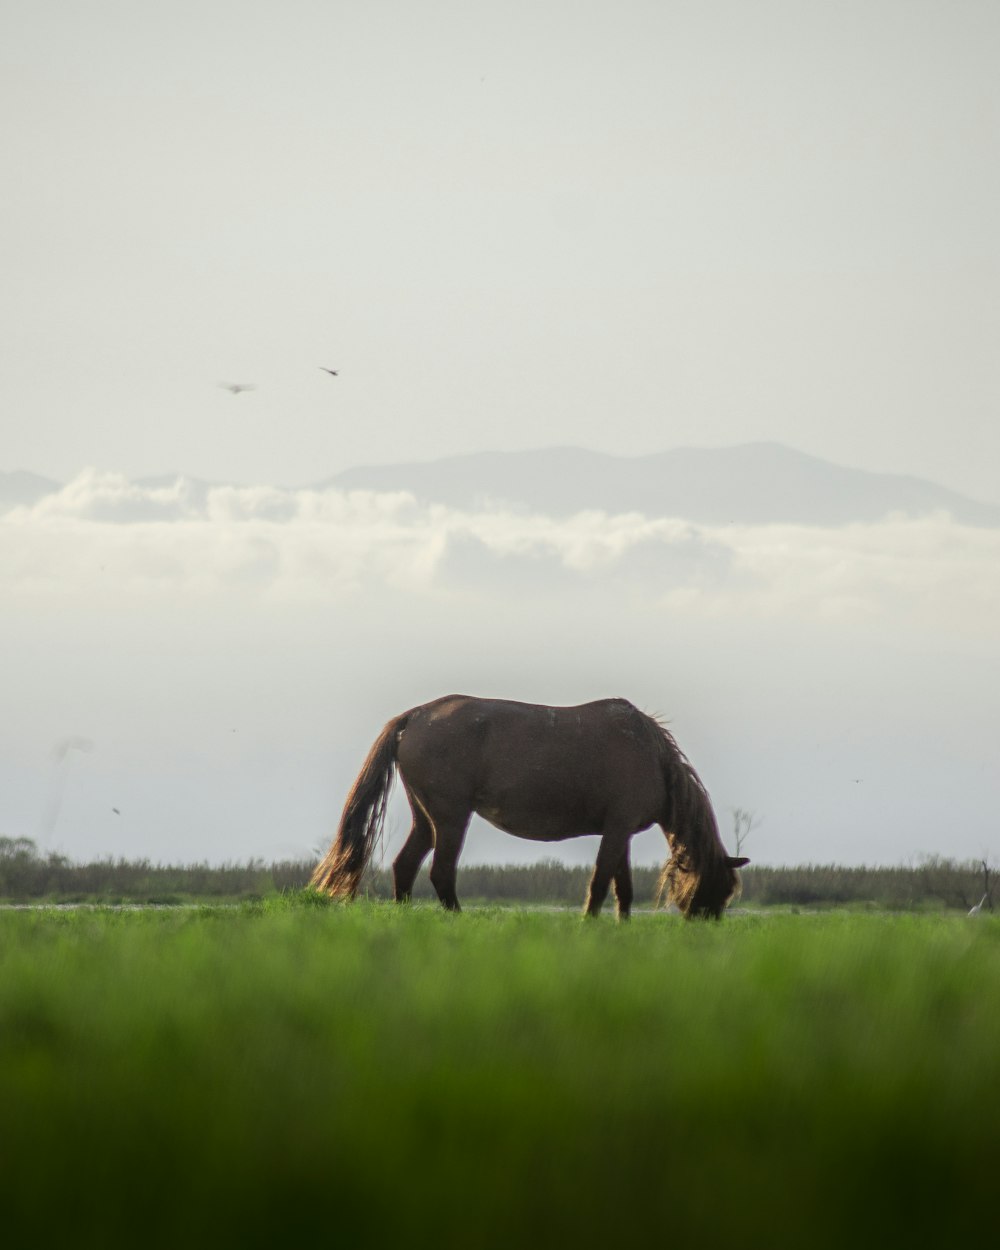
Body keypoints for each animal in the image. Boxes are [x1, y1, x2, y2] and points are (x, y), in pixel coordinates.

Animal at [312, 695, 750, 920]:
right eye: (719, 888)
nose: (702, 926)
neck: (652, 756)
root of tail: (415, 716)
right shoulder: (616, 829)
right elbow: (600, 882)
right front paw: (589, 926)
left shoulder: (620, 831)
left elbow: (622, 887)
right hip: (451, 818)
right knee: (440, 872)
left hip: (426, 819)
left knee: (405, 866)